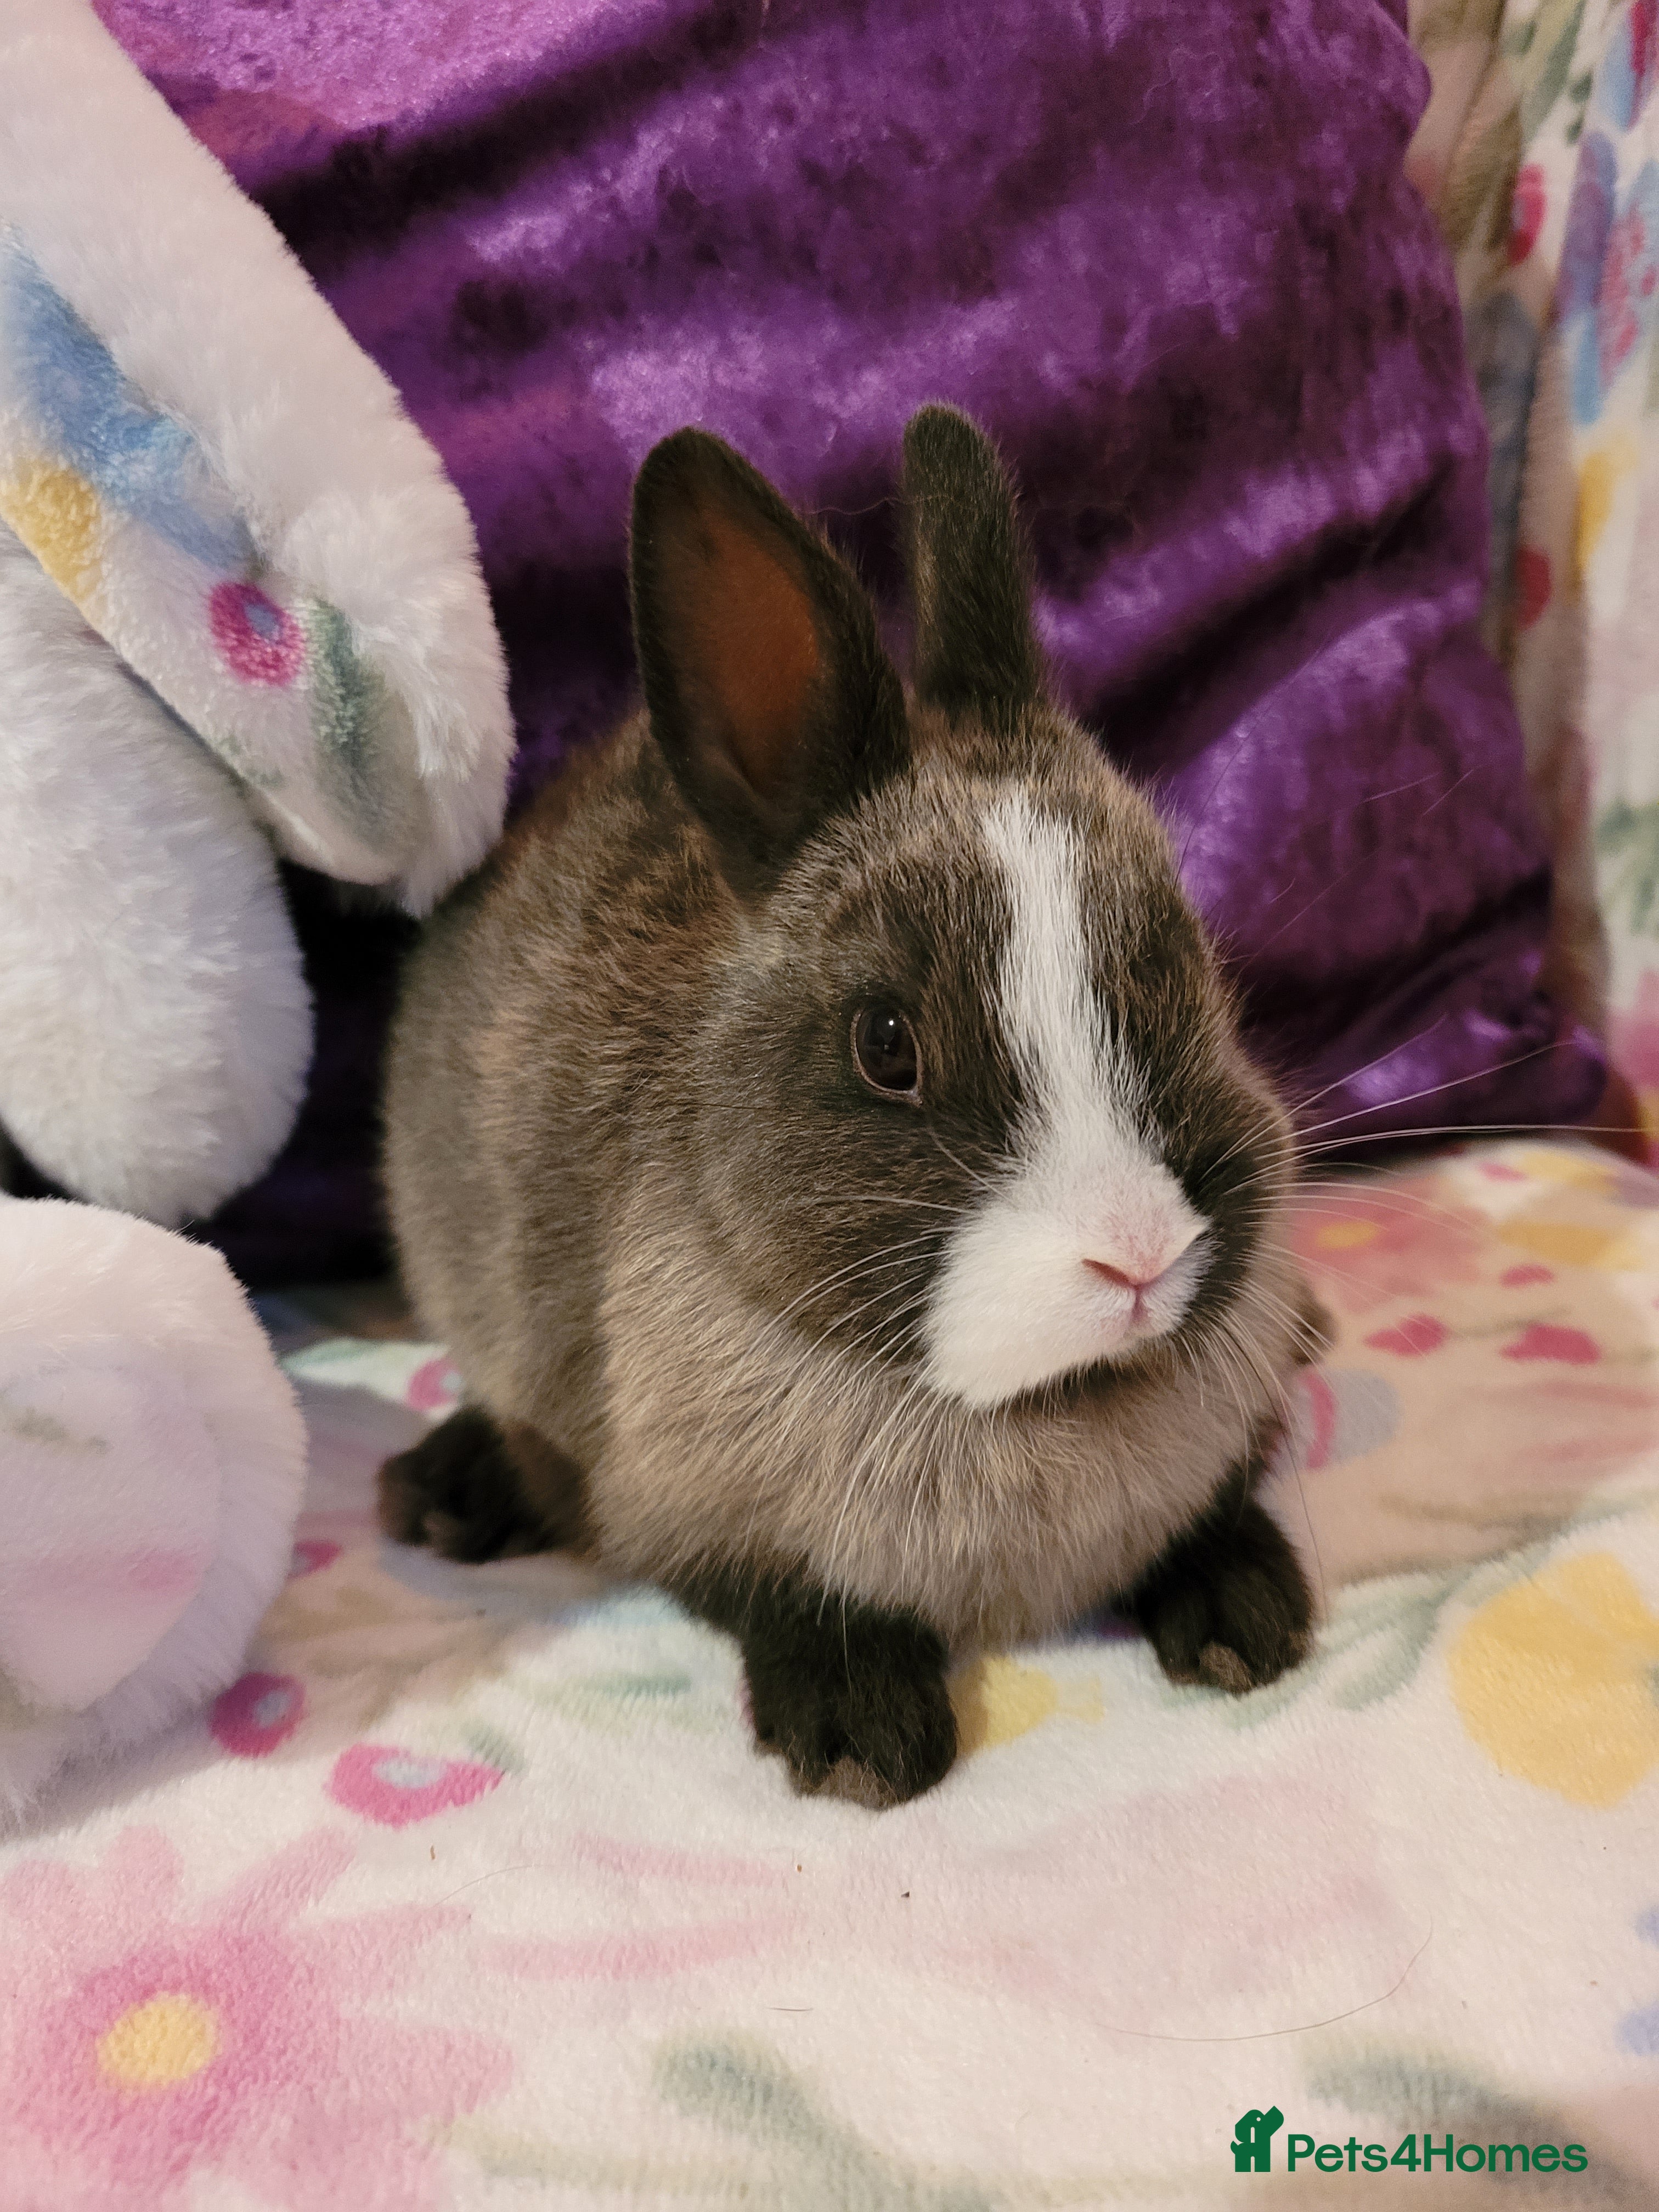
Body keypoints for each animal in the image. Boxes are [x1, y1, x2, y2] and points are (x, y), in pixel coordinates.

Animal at [378, 405, 1326, 1808]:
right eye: (887, 1046)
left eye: (1181, 958)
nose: (1139, 1258)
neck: (1033, 1411)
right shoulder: (682, 1508)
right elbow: (779, 1595)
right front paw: (860, 1740)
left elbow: (1209, 1515)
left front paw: (1248, 1622)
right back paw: (438, 1495)